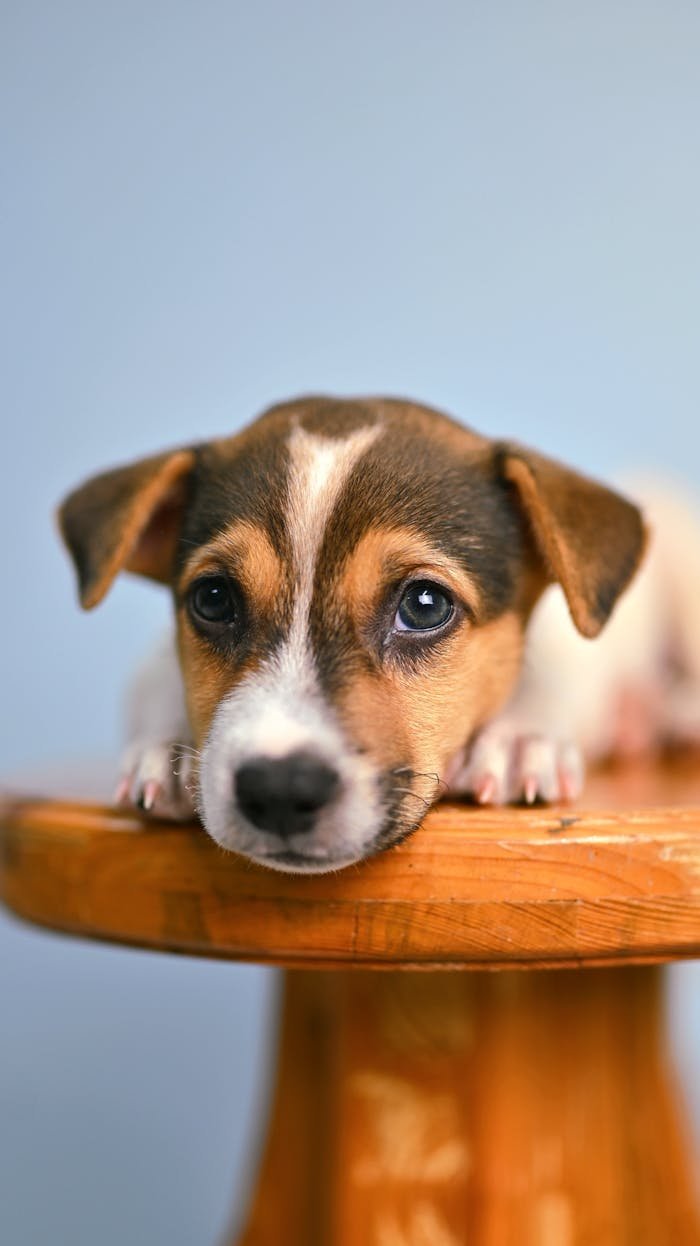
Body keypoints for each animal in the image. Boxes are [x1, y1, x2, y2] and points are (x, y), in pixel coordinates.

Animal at [58, 398, 697, 877]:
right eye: (214, 599)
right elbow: (158, 684)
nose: (280, 787)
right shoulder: (154, 662)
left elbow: (547, 682)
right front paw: (166, 751)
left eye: (424, 604)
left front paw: (519, 739)